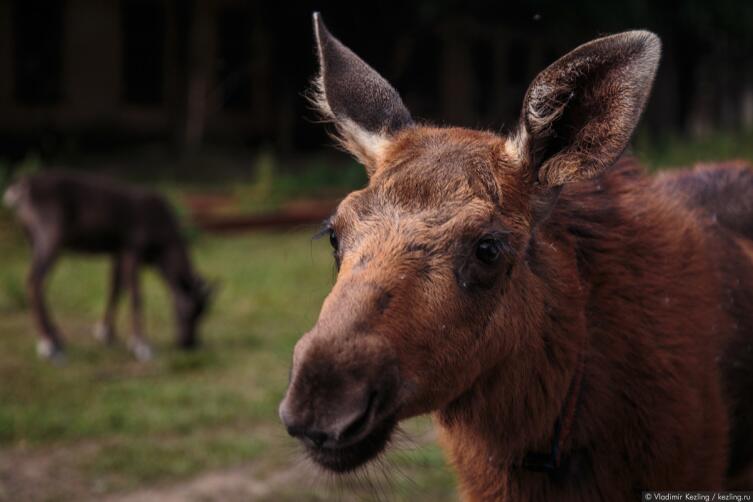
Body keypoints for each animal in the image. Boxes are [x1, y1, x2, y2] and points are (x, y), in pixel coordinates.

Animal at [4, 173, 210, 360]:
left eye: (204, 313)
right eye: (190, 310)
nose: (189, 343)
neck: (162, 248)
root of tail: (17, 191)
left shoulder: (117, 253)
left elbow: (115, 290)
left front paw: (106, 334)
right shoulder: (132, 247)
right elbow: (136, 296)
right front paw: (141, 345)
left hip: (31, 238)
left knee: (39, 283)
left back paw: (58, 338)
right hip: (51, 233)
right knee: (34, 281)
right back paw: (48, 345)